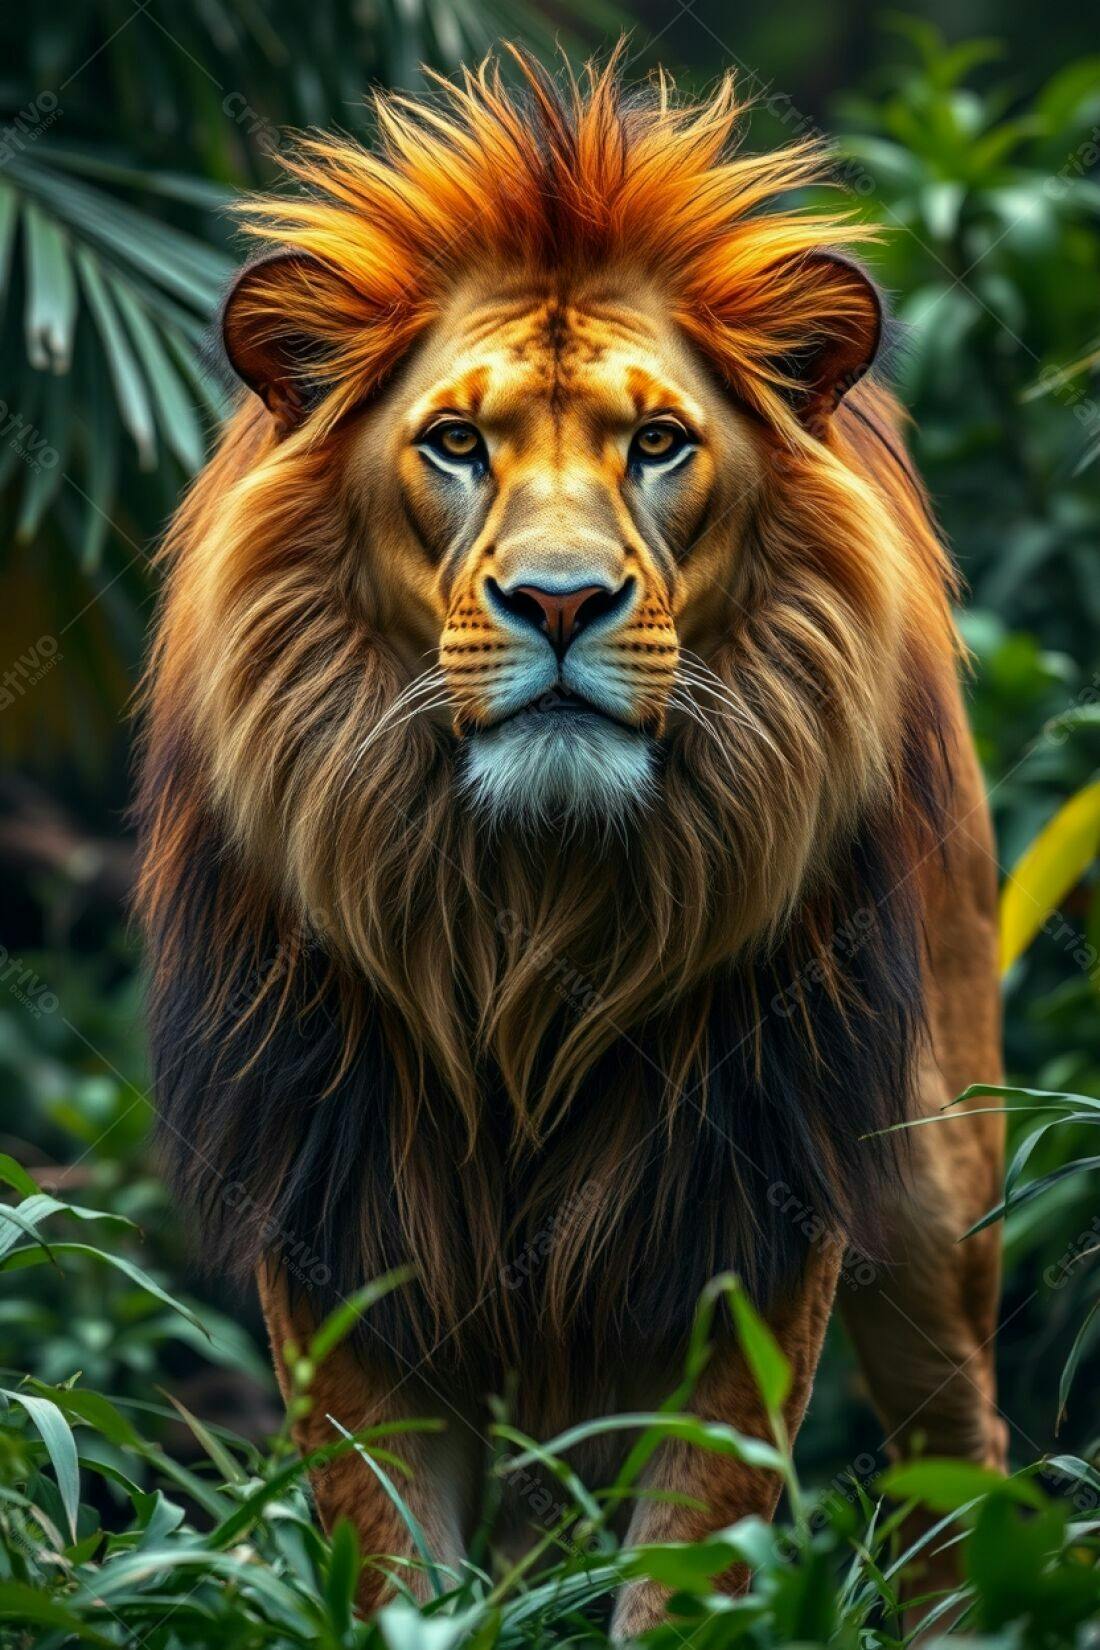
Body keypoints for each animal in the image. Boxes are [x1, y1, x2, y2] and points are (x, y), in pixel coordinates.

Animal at [136, 50, 1006, 1636]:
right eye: (456, 442)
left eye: (657, 443)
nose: (556, 600)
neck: (526, 915)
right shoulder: (345, 1218)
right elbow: (391, 1561)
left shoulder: (756, 1209)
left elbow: (684, 1561)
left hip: (936, 1178)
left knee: (955, 1459)